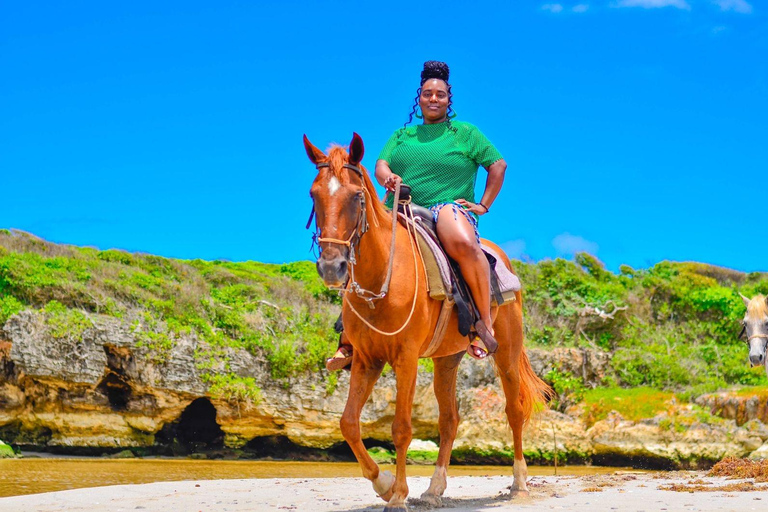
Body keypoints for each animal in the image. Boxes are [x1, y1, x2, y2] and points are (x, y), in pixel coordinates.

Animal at [304, 133, 548, 512]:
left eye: (357, 196)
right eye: (314, 195)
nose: (332, 267)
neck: (384, 275)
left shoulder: (405, 359)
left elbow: (401, 428)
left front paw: (396, 495)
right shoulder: (366, 359)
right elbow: (348, 424)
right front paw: (383, 483)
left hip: (506, 353)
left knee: (514, 409)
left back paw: (519, 482)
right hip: (447, 359)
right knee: (449, 420)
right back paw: (434, 489)